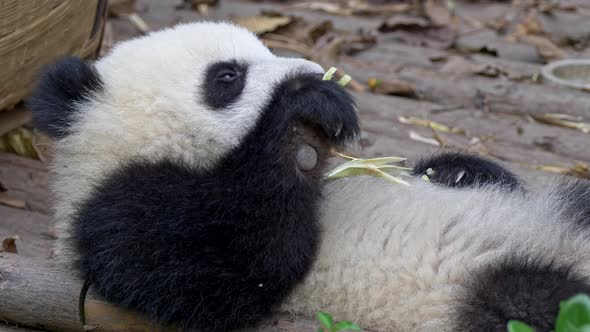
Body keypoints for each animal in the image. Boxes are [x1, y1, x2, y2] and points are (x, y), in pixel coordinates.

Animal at [30, 22, 590, 332]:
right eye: (227, 76)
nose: (314, 69)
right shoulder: (122, 212)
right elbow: (239, 266)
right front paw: (301, 115)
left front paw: (453, 170)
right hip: (467, 291)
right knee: (530, 299)